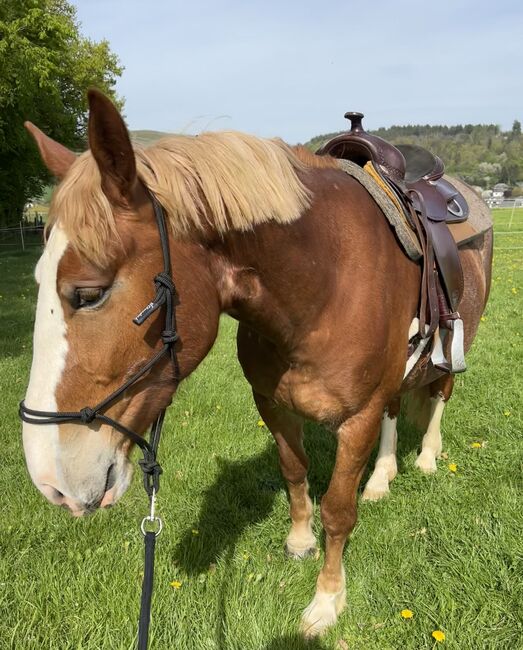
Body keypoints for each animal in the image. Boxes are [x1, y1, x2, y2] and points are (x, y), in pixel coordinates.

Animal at [20, 88, 494, 636]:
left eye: (89, 294)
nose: (50, 481)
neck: (323, 284)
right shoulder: (272, 402)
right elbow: (294, 471)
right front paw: (300, 540)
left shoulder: (358, 419)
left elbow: (338, 510)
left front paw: (327, 600)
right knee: (398, 408)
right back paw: (381, 478)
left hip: (456, 341)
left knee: (439, 394)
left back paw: (427, 457)